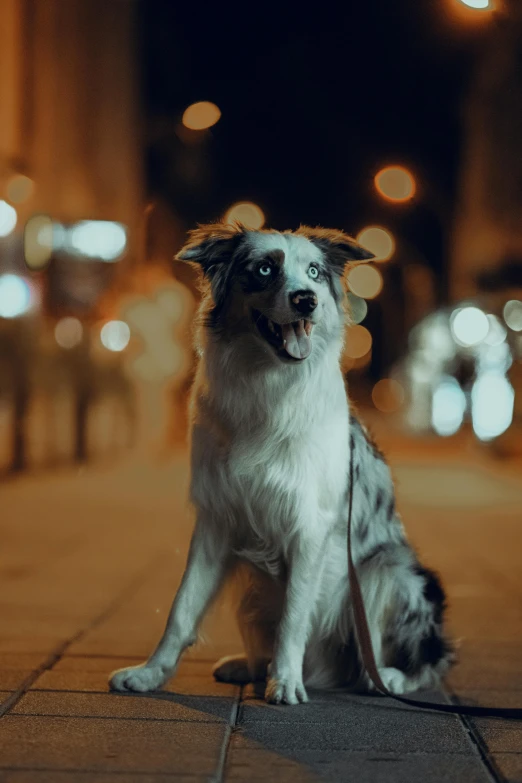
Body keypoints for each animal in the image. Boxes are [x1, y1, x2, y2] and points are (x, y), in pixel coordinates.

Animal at [109, 220, 450, 704]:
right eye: (265, 269)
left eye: (313, 272)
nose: (305, 299)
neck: (268, 385)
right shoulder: (217, 519)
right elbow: (182, 607)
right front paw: (150, 674)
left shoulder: (309, 526)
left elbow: (294, 616)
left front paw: (285, 682)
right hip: (253, 589)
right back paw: (247, 666)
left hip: (387, 570)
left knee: (420, 661)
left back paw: (387, 679)